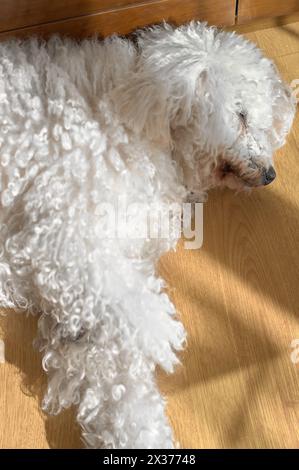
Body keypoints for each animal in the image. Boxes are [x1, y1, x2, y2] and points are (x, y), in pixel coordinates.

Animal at [0, 23, 296, 448]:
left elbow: (109, 369)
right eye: (240, 116)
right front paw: (158, 329)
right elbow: (127, 301)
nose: (270, 175)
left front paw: (140, 434)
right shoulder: (60, 230)